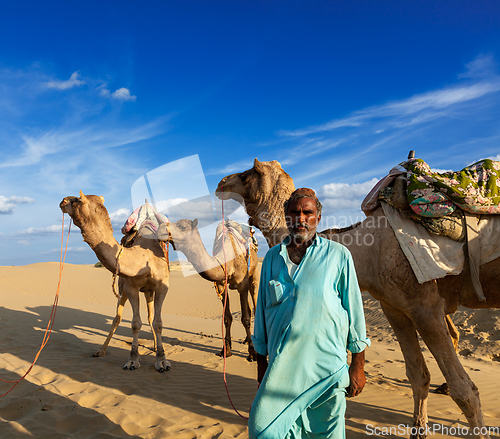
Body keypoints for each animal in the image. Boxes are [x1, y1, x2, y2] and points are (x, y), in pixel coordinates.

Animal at [60, 192, 172, 372]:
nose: (62, 201)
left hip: (148, 291)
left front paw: (162, 360)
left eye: (77, 200)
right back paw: (101, 351)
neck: (143, 257)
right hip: (123, 288)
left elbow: (158, 323)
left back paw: (155, 346)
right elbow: (135, 324)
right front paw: (132, 360)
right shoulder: (131, 287)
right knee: (117, 319)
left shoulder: (162, 286)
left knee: (150, 317)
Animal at [158, 218, 260, 362]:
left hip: (253, 275)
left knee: (255, 305)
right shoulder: (221, 285)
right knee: (250, 309)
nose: (160, 228)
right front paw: (225, 351)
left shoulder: (242, 284)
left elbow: (245, 319)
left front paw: (252, 354)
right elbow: (227, 318)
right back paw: (246, 340)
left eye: (183, 226)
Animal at [216, 160, 500, 439]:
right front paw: (417, 431)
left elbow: (465, 391)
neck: (369, 250)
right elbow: (417, 375)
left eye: (246, 175)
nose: (221, 183)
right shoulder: (395, 307)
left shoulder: (425, 306)